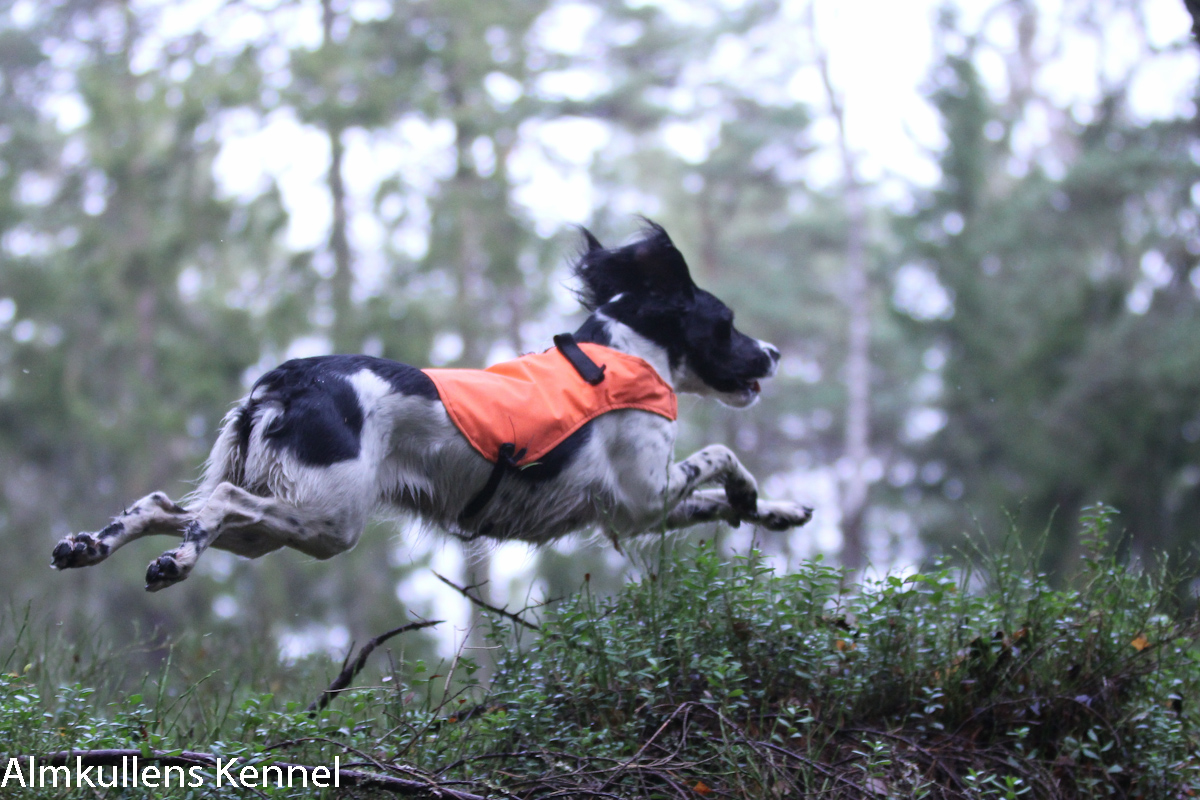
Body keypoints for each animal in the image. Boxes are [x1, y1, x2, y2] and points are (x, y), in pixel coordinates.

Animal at [51, 221, 812, 592]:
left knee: (158, 504)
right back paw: (174, 563)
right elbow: (723, 456)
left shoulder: (633, 514)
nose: (775, 353)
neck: (624, 351)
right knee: (213, 507)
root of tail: (286, 379)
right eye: (726, 322)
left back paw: (88, 545)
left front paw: (776, 510)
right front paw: (751, 492)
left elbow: (717, 500)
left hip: (281, 520)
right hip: (326, 517)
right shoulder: (639, 496)